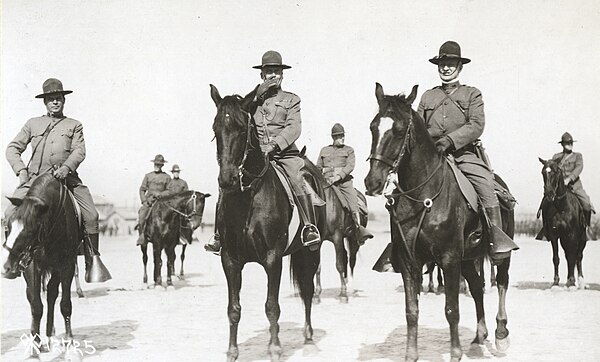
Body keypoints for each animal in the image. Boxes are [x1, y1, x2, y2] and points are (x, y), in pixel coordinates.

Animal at [1, 173, 79, 356]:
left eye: (30, 230)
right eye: (8, 226)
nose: (6, 267)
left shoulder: (67, 264)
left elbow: (65, 304)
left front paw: (70, 343)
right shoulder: (31, 265)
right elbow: (36, 305)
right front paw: (35, 345)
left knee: (51, 293)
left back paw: (51, 335)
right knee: (33, 296)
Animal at [211, 85, 324, 362]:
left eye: (242, 129)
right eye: (215, 129)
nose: (227, 180)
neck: (248, 198)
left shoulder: (273, 259)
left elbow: (272, 306)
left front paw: (274, 349)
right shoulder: (230, 260)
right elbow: (233, 309)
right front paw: (232, 352)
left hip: (311, 251)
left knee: (307, 291)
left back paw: (308, 337)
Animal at [304, 156, 370, 302]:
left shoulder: (337, 236)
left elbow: (339, 264)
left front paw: (344, 295)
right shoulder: (319, 240)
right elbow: (317, 267)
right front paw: (316, 295)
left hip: (353, 239)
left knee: (351, 260)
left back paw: (350, 288)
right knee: (345, 257)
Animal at [364, 83, 512, 360]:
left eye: (399, 131)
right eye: (373, 127)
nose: (372, 182)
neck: (422, 196)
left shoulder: (449, 258)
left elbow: (452, 309)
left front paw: (455, 353)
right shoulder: (410, 261)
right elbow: (411, 310)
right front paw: (411, 355)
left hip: (497, 253)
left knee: (501, 283)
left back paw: (500, 334)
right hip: (467, 258)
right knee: (477, 287)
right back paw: (479, 336)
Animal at [536, 158, 588, 288]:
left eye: (556, 172)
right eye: (543, 172)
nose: (549, 194)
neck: (561, 207)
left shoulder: (572, 235)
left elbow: (572, 256)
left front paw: (572, 282)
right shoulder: (554, 235)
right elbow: (556, 258)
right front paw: (556, 282)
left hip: (582, 238)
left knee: (579, 256)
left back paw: (581, 281)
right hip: (564, 239)